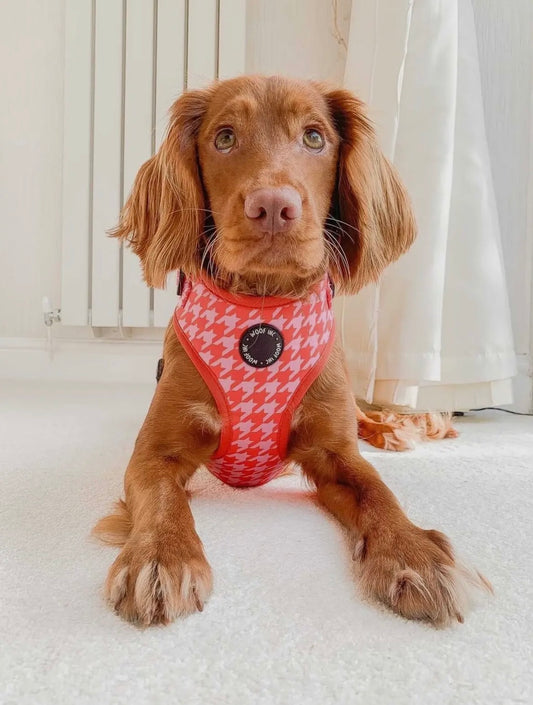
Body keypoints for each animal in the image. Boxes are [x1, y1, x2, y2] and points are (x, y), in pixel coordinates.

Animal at [93, 78, 488, 628]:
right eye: (224, 137)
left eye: (315, 138)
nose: (273, 207)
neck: (263, 313)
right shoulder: (155, 452)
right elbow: (163, 500)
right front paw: (160, 556)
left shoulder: (335, 453)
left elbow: (379, 491)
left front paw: (414, 554)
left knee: (371, 422)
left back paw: (403, 429)